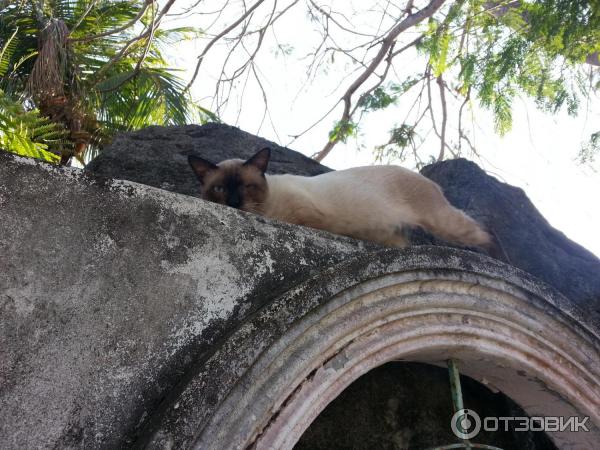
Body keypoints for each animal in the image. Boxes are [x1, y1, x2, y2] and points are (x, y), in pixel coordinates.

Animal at [189, 148, 492, 248]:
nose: (234, 203)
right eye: (219, 189)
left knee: (486, 235)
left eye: (247, 186)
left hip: (447, 225)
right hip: (393, 237)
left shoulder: (310, 218)